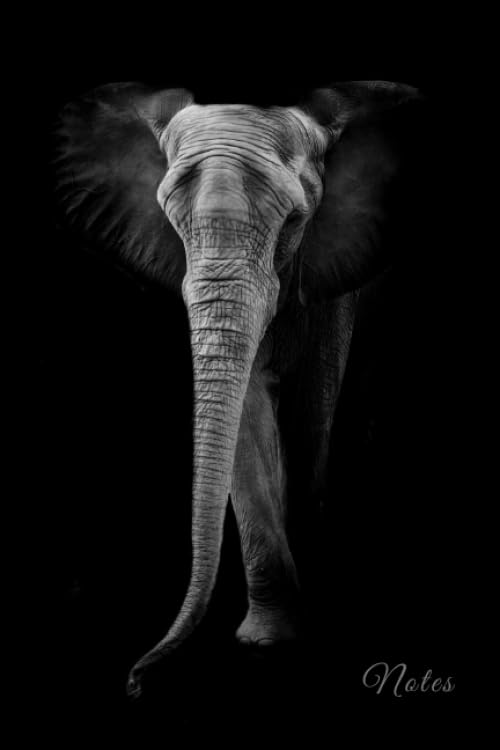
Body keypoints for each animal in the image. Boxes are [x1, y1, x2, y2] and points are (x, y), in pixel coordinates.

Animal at [53, 79, 425, 697]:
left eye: (295, 218)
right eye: (169, 219)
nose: (135, 681)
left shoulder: (334, 260)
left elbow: (312, 399)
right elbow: (246, 408)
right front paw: (268, 641)